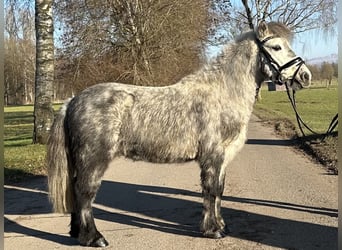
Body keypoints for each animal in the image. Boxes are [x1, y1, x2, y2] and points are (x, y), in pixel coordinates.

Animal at [48, 21, 312, 246]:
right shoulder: (212, 156)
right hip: (94, 160)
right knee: (85, 193)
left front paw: (221, 225)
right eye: (276, 47)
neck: (222, 93)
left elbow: (219, 190)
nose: (305, 76)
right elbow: (211, 191)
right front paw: (212, 230)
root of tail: (72, 101)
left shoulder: (223, 158)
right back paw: (94, 238)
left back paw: (76, 233)